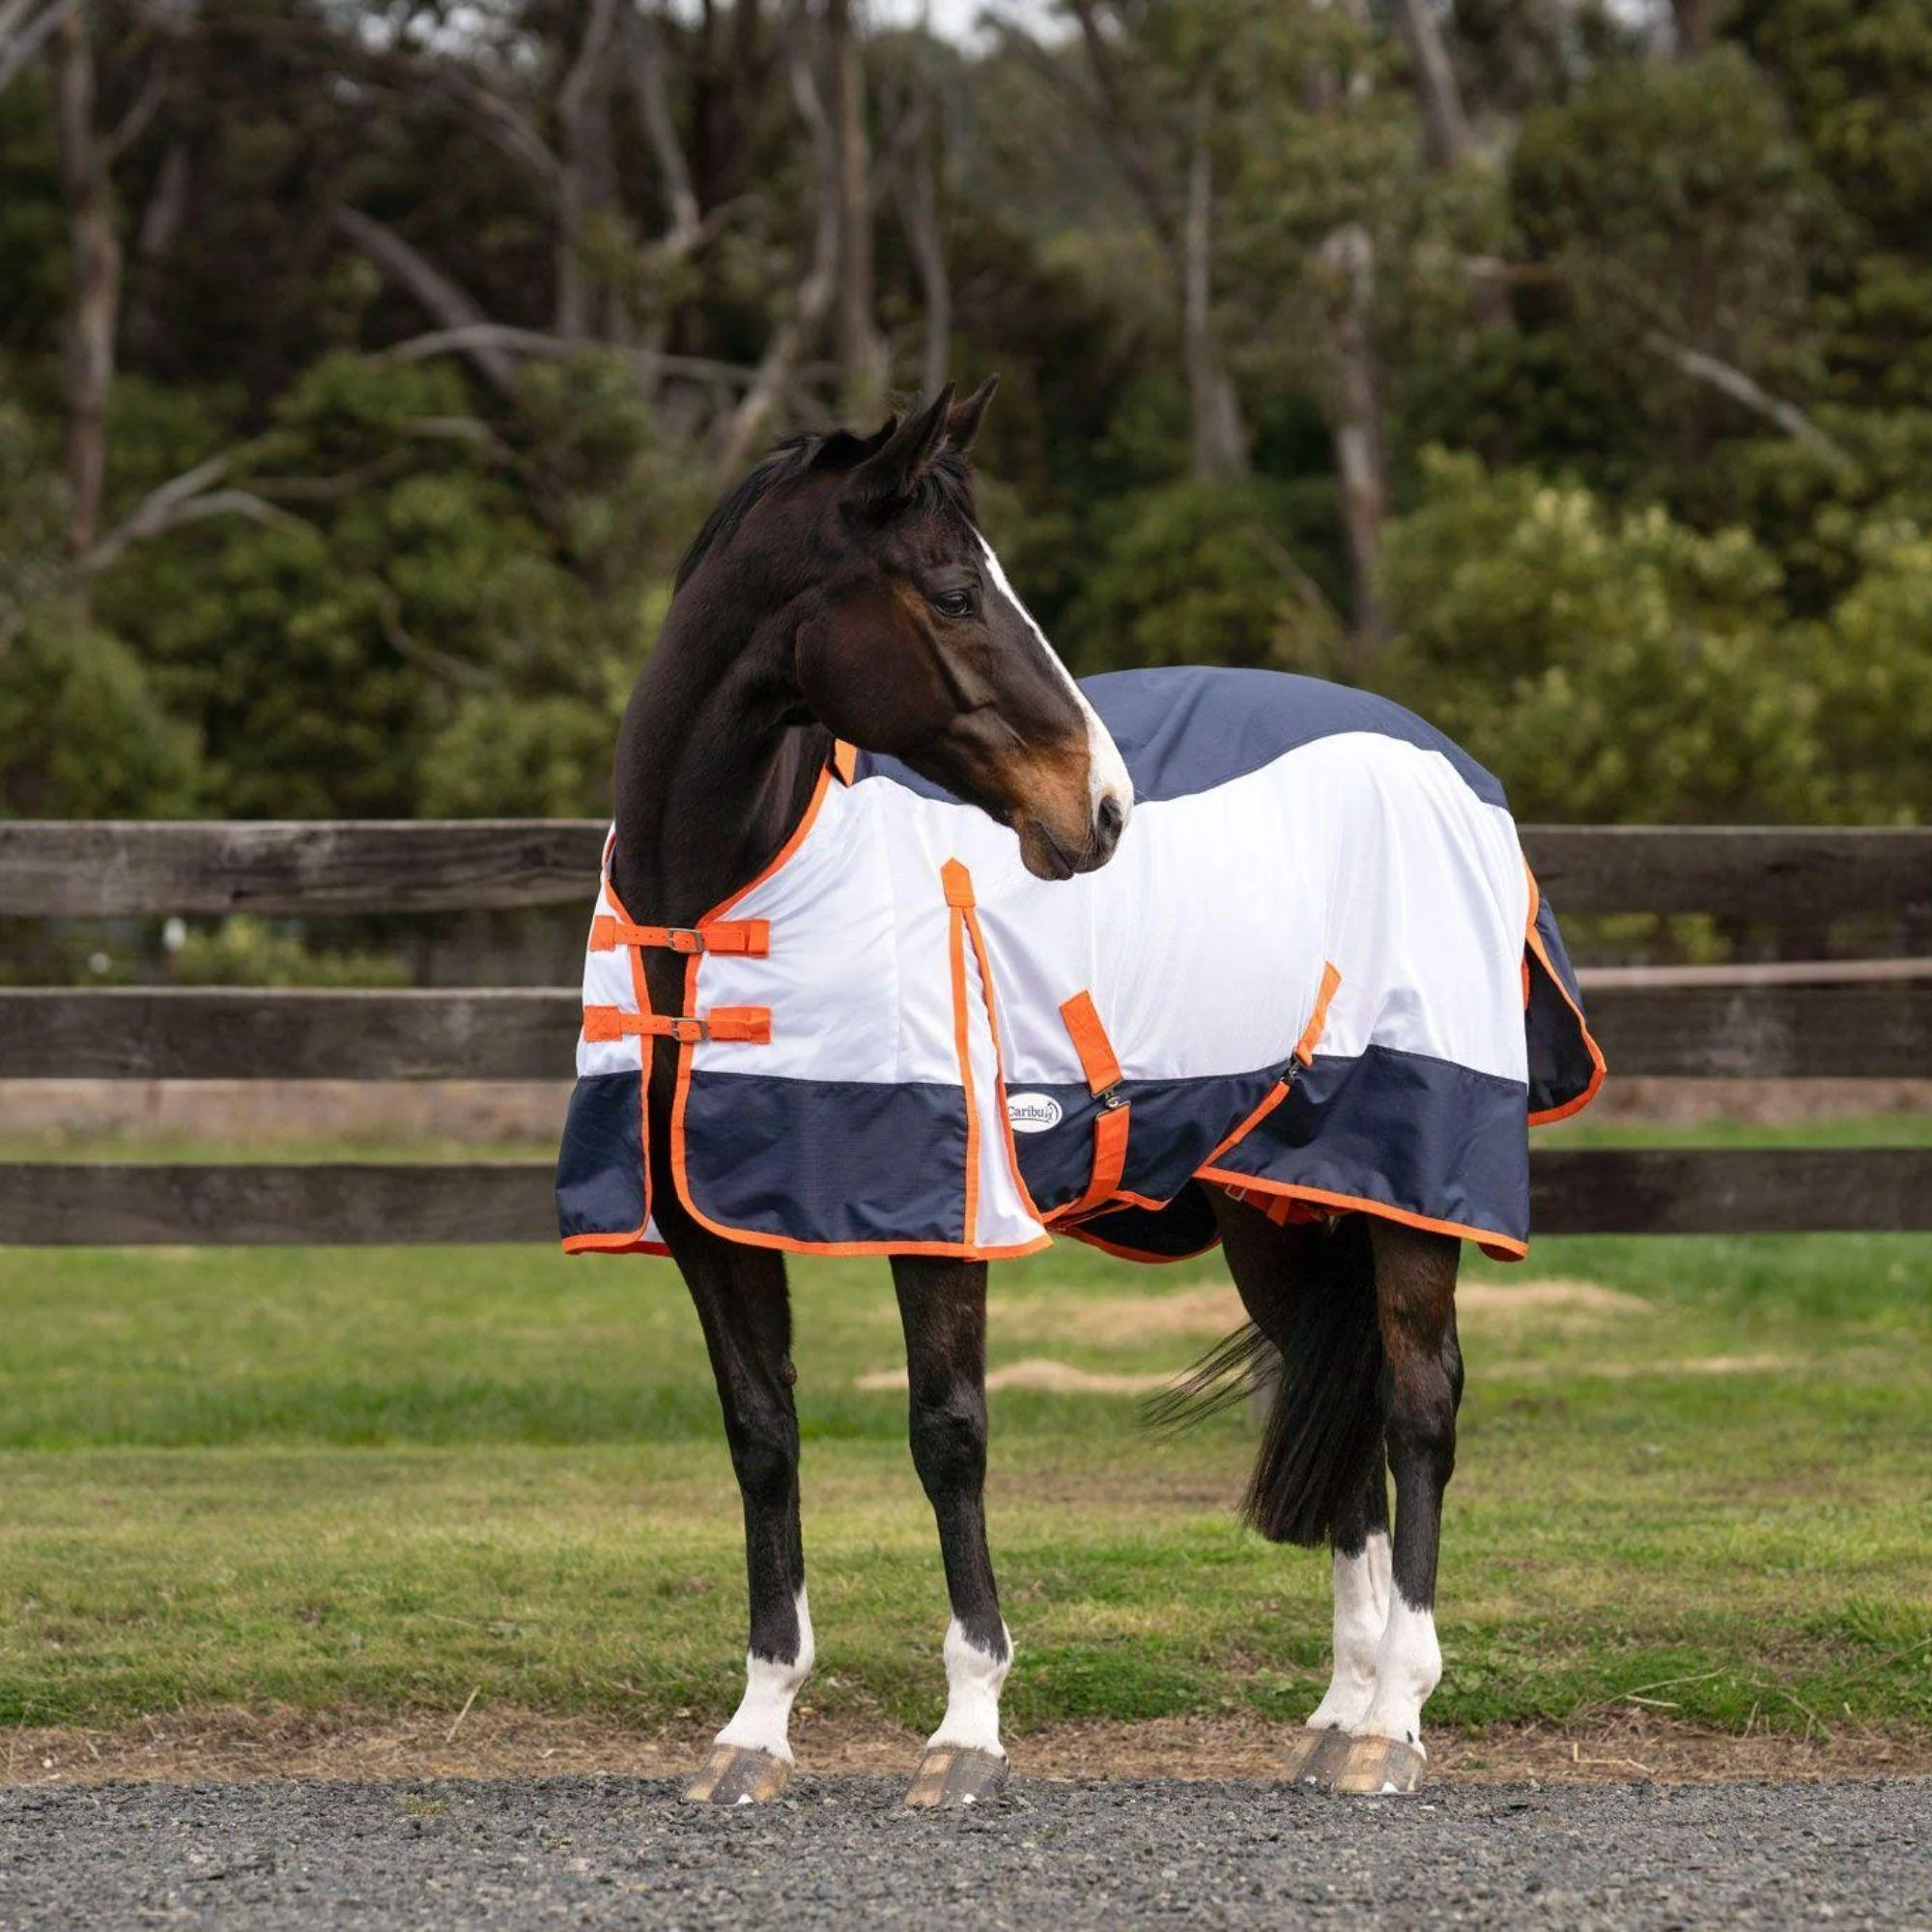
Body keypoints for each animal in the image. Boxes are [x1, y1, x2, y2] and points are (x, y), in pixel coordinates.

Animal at [557, 379, 1602, 1807]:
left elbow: (948, 1435)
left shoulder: (941, 1209)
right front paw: (755, 1731)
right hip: (1279, 1199)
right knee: (1337, 1412)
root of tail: (1455, 772)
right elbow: (761, 1439)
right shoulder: (710, 1223)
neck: (720, 901)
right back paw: (1336, 1716)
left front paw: (966, 1731)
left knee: (1419, 1406)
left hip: (1412, 1178)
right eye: (952, 592)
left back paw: (1393, 1721)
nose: (1101, 809)